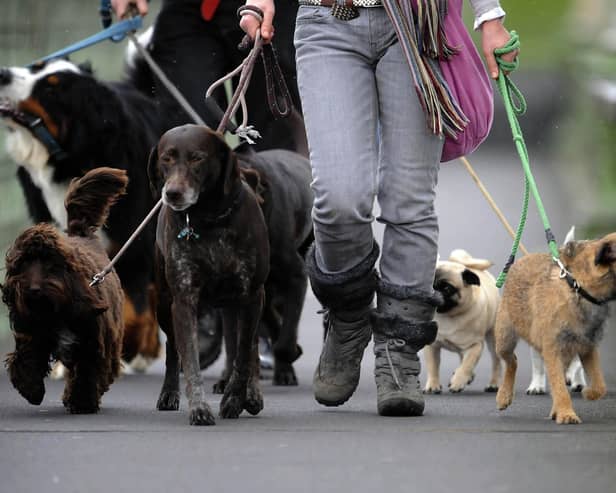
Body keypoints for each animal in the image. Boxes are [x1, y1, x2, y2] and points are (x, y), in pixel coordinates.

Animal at [1, 167, 127, 414]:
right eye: (24, 264)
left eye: (50, 263)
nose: (33, 289)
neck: (56, 310)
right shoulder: (33, 332)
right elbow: (26, 358)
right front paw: (31, 389)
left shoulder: (93, 341)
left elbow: (88, 372)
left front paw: (81, 401)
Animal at [149, 123, 270, 422]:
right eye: (166, 158)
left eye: (197, 158)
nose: (172, 193)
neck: (209, 218)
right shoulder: (183, 300)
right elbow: (190, 358)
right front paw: (199, 407)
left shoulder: (252, 295)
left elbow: (243, 354)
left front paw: (236, 398)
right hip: (163, 305)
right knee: (172, 349)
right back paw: (169, 392)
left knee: (250, 346)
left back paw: (253, 394)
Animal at [428, 250, 500, 392]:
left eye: (447, 288)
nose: (433, 292)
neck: (447, 316)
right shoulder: (432, 346)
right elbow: (433, 366)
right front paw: (432, 385)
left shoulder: (475, 345)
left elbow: (467, 364)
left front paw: (458, 382)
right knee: (462, 356)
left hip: (493, 338)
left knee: (495, 362)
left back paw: (493, 384)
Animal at [496, 232, 616, 422]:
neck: (577, 288)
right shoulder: (552, 350)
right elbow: (559, 387)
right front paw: (566, 413)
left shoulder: (587, 347)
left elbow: (599, 385)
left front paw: (588, 393)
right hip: (504, 339)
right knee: (511, 361)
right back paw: (504, 396)